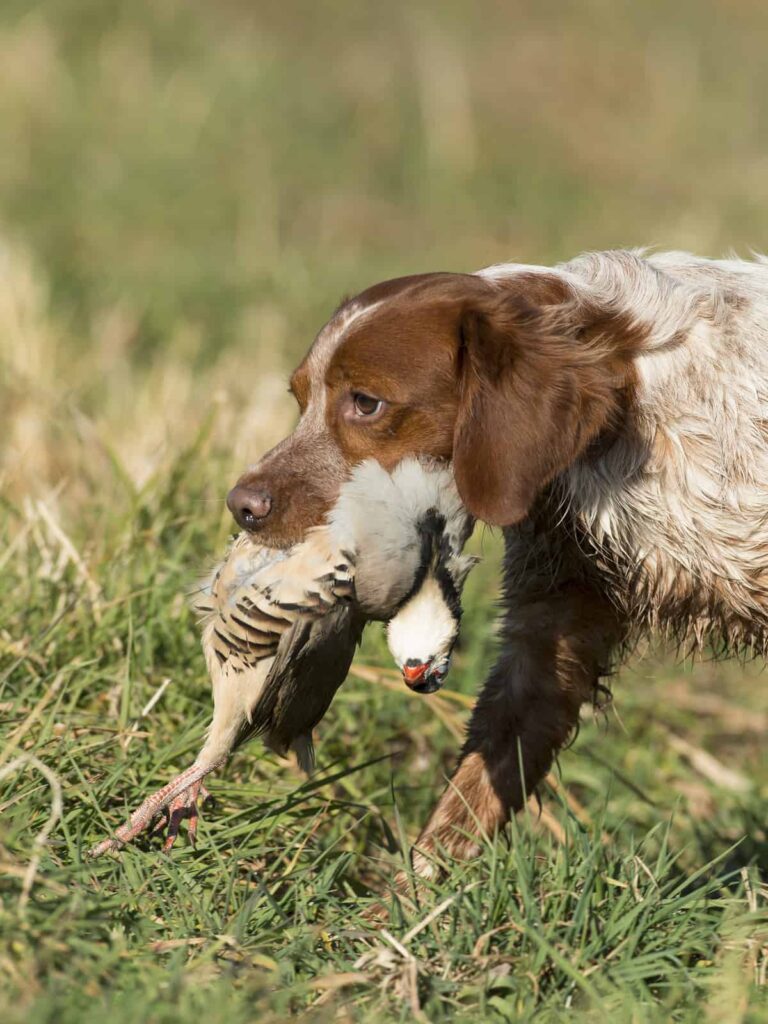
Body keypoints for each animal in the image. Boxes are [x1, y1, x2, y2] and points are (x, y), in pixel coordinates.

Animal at [225, 251, 768, 884]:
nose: (241, 506)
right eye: (300, 397)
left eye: (366, 402)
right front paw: (412, 902)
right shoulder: (555, 617)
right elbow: (481, 777)